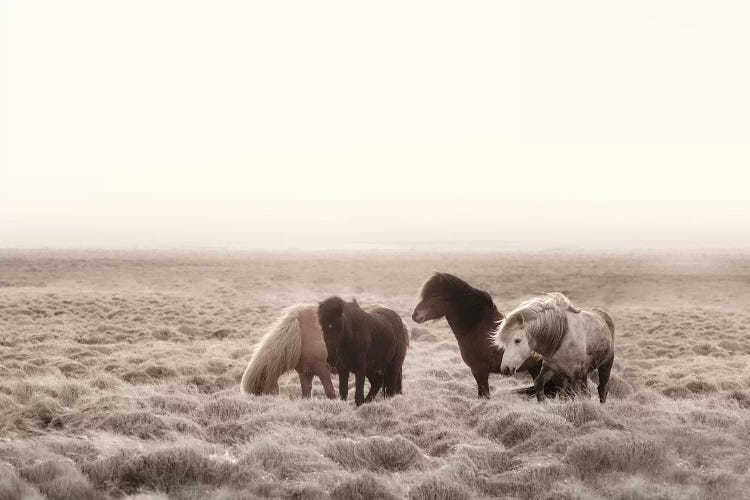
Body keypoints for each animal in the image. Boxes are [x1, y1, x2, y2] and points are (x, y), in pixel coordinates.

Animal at [414, 274, 568, 398]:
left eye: (434, 295)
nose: (415, 315)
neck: (476, 327)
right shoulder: (476, 372)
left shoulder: (481, 371)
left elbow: (484, 396)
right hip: (535, 369)